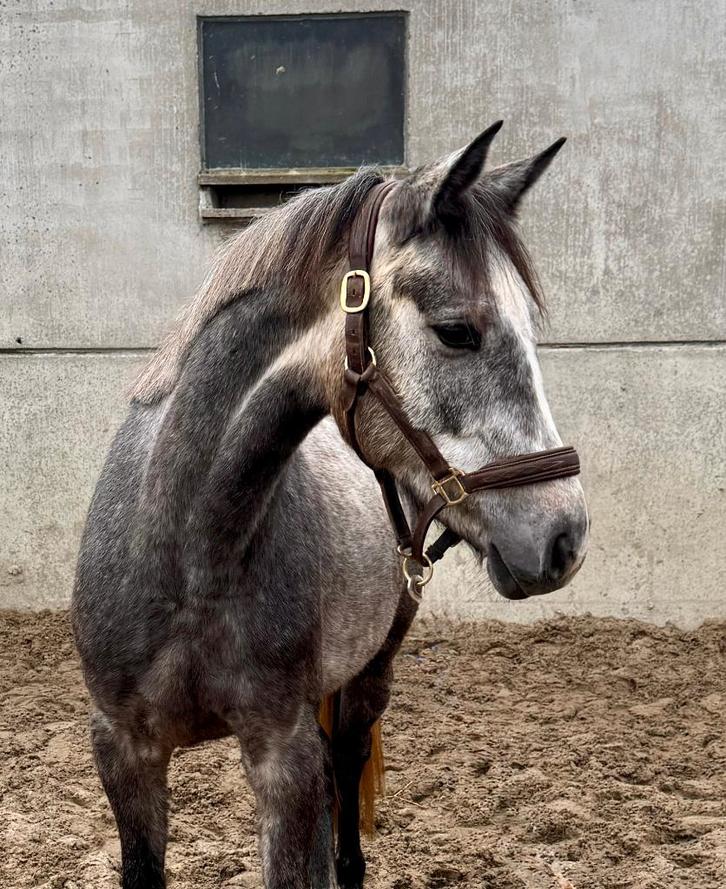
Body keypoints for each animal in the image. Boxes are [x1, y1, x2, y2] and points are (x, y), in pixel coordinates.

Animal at [71, 121, 589, 889]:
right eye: (456, 331)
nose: (564, 537)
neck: (188, 555)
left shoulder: (280, 754)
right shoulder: (123, 751)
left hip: (374, 666)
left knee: (344, 763)